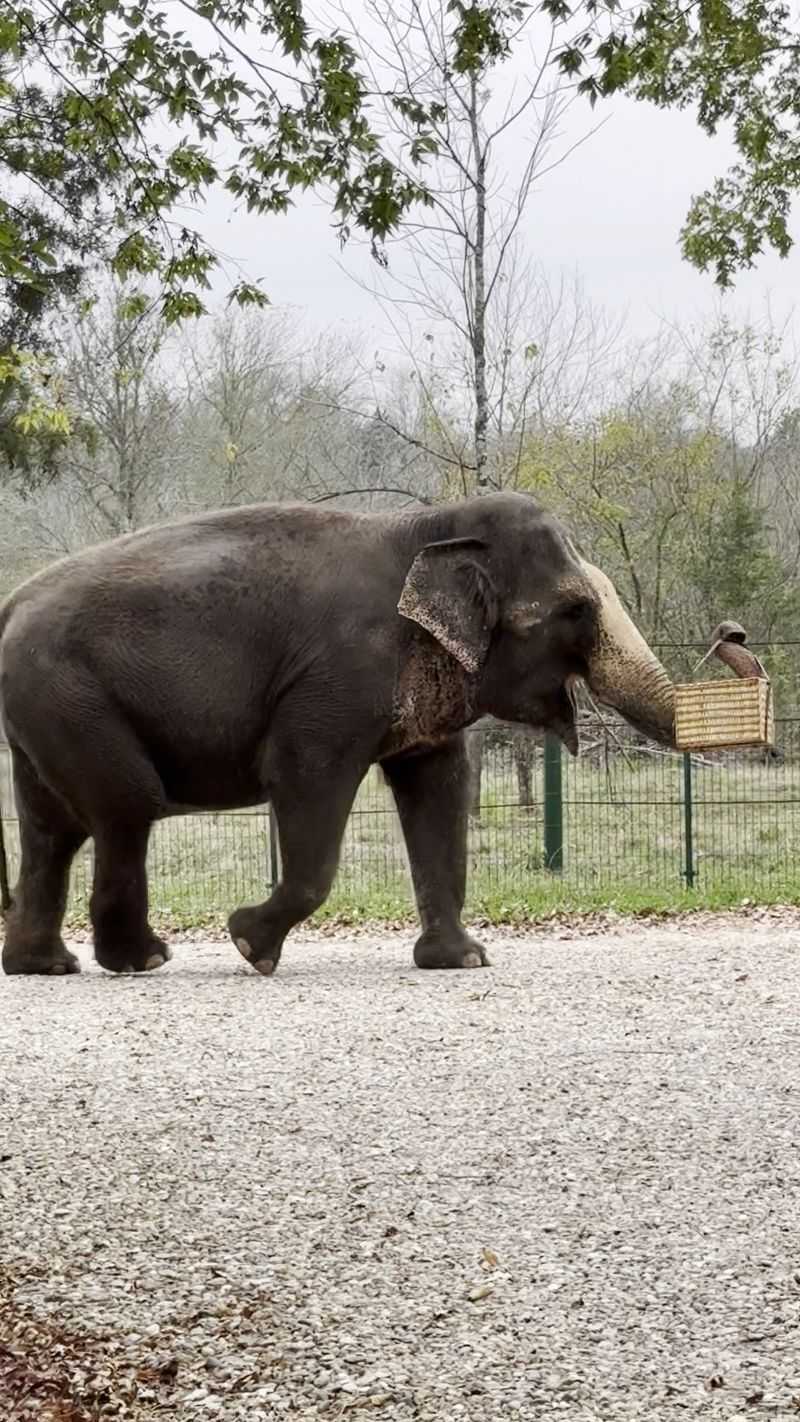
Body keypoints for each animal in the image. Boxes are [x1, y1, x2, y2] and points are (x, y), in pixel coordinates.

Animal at [0, 491, 676, 978]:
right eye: (576, 610)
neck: (430, 523)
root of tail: (11, 604)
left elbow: (439, 789)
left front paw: (461, 960)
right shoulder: (338, 679)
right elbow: (304, 776)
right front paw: (249, 945)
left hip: (43, 710)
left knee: (52, 830)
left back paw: (45, 966)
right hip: (70, 696)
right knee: (127, 804)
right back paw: (144, 959)